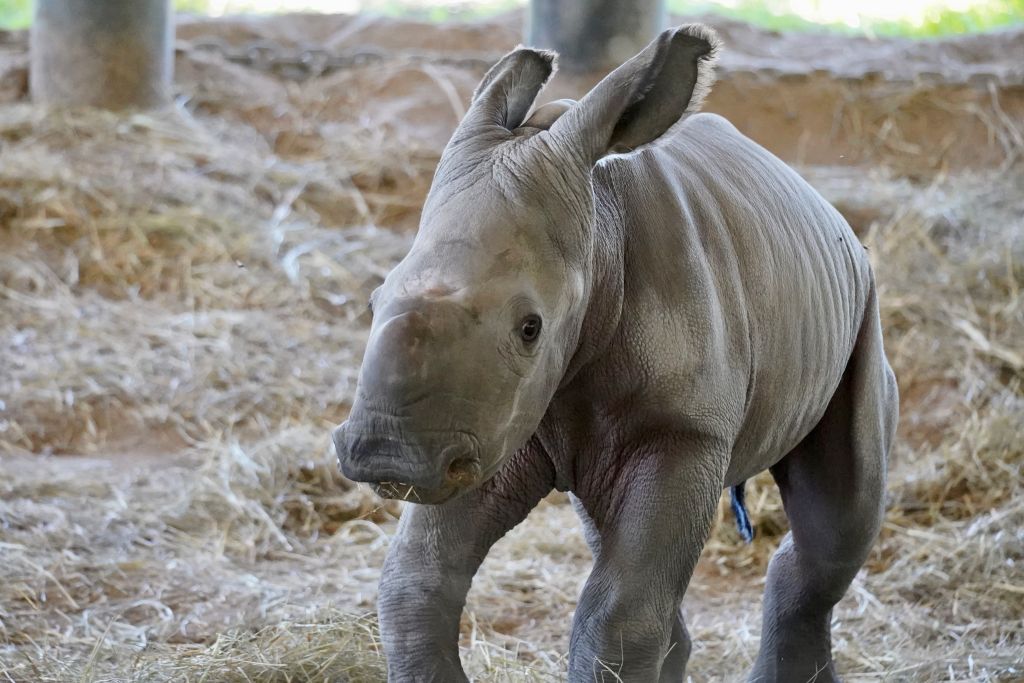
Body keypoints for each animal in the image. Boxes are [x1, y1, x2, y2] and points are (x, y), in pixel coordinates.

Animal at [334, 23, 898, 682]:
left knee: (834, 523)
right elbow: (418, 582)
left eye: (531, 328)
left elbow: (617, 615)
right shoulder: (484, 424)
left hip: (863, 313)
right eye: (373, 301)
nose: (386, 456)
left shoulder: (683, 431)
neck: (597, 232)